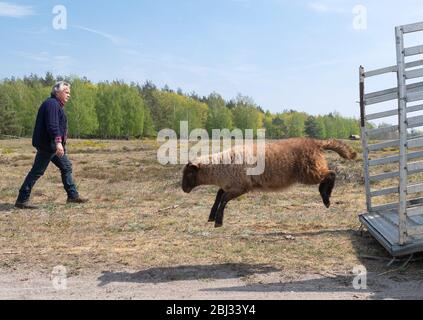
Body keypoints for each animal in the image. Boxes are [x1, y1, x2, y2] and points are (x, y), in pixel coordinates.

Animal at [182, 138, 358, 228]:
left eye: (189, 173)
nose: (183, 189)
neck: (221, 166)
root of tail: (316, 143)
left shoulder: (241, 187)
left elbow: (223, 198)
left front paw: (218, 221)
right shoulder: (231, 185)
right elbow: (219, 195)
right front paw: (212, 216)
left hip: (310, 170)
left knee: (331, 174)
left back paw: (326, 198)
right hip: (312, 169)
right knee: (329, 174)